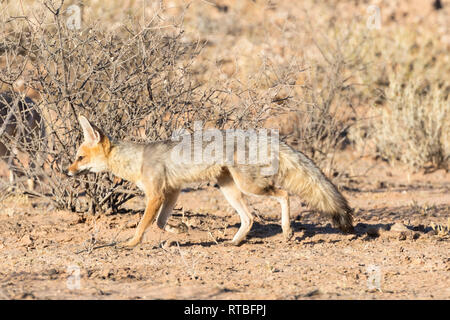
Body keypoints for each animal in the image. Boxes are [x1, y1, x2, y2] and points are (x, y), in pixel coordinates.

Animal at [67, 116, 356, 246]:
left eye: (80, 158)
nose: (67, 172)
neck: (135, 159)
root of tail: (264, 136)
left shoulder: (156, 195)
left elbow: (142, 226)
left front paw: (130, 244)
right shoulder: (173, 191)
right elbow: (160, 223)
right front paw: (179, 230)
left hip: (249, 186)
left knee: (283, 194)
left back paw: (286, 231)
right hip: (230, 190)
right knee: (249, 218)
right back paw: (235, 242)